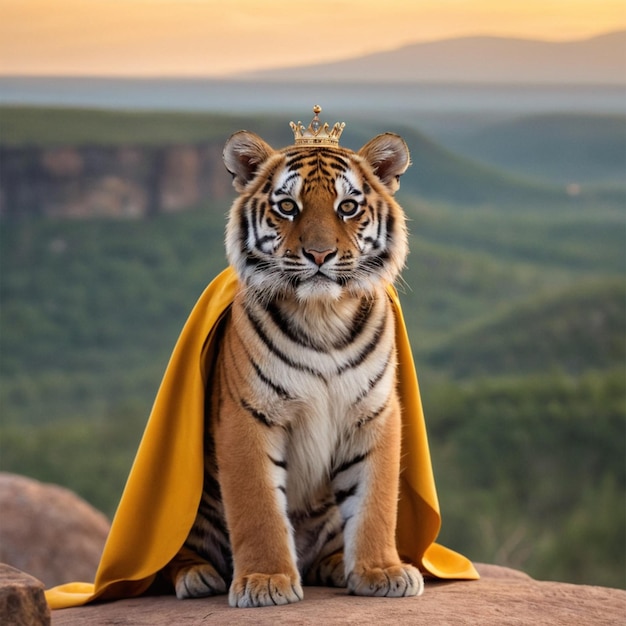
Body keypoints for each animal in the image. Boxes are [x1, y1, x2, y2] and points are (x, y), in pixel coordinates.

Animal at [162, 113, 424, 604]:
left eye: (347, 207)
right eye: (287, 206)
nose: (319, 254)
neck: (323, 315)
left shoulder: (373, 413)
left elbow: (375, 500)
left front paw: (382, 572)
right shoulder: (248, 415)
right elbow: (258, 506)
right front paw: (265, 581)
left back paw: (337, 565)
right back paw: (197, 576)